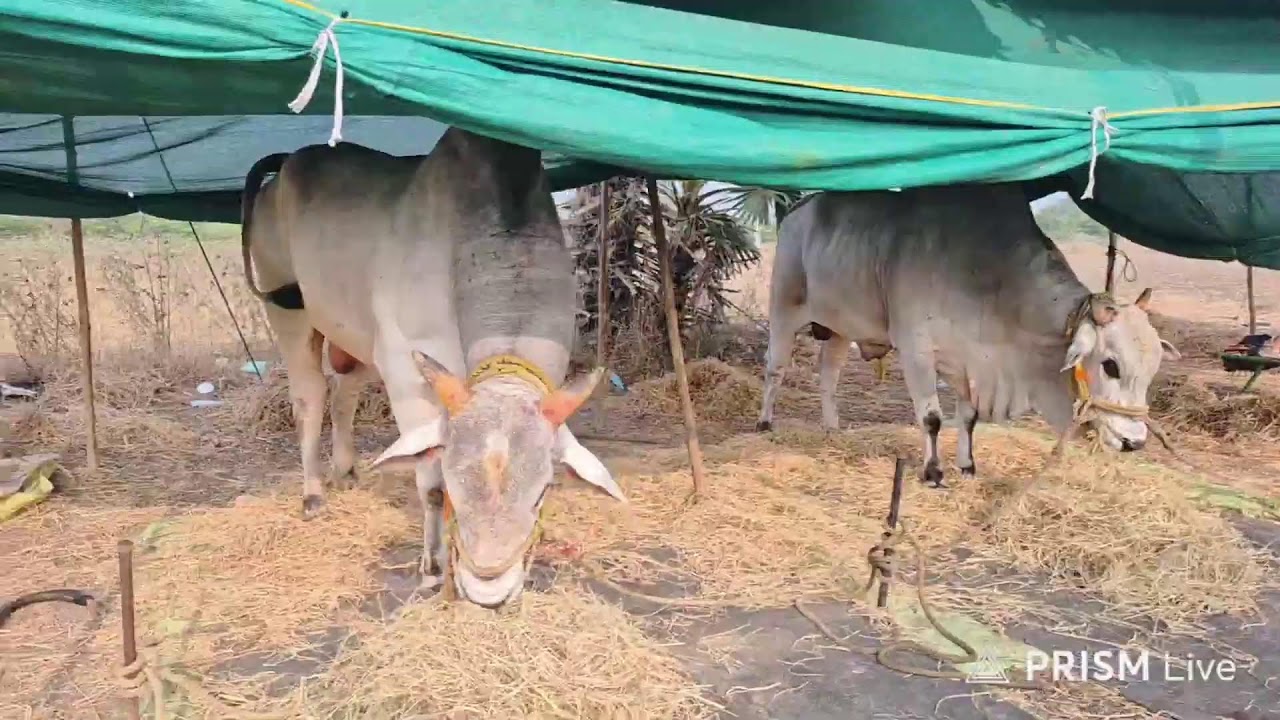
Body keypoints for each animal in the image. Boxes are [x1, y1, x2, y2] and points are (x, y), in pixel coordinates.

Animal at [239, 127, 626, 608]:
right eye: (458, 489)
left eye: (543, 492)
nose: (488, 589)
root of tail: (283, 169)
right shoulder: (408, 375)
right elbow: (430, 484)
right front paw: (432, 567)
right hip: (290, 311)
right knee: (310, 396)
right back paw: (313, 493)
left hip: (359, 339)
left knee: (344, 393)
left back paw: (345, 470)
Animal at [755, 185, 1180, 486]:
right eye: (1110, 365)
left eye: (1152, 370)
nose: (1134, 442)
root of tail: (799, 209)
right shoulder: (916, 350)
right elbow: (931, 418)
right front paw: (933, 471)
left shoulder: (968, 360)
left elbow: (969, 416)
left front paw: (968, 465)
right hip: (784, 306)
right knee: (775, 367)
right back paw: (764, 424)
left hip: (841, 327)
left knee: (828, 374)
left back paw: (831, 428)